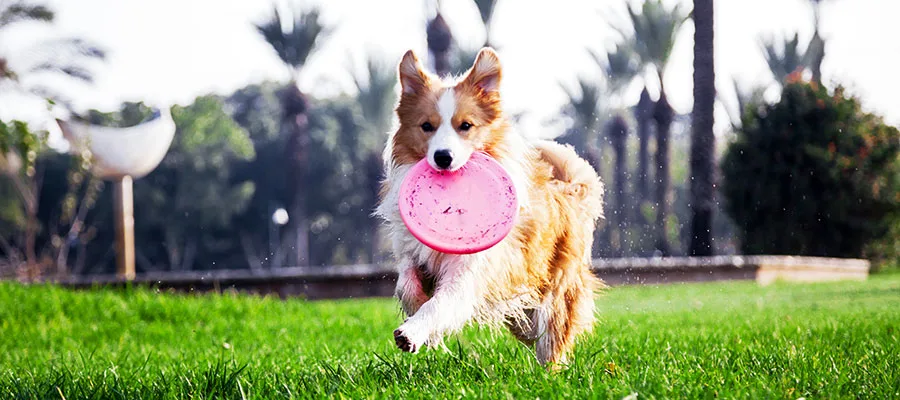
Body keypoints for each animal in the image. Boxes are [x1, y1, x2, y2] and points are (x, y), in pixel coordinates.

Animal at [372, 47, 604, 366]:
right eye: (427, 126)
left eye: (465, 126)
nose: (443, 157)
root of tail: (569, 189)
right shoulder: (412, 252)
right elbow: (406, 284)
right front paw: (419, 316)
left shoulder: (471, 272)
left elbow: (441, 303)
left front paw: (414, 332)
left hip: (555, 295)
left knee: (551, 343)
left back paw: (548, 373)